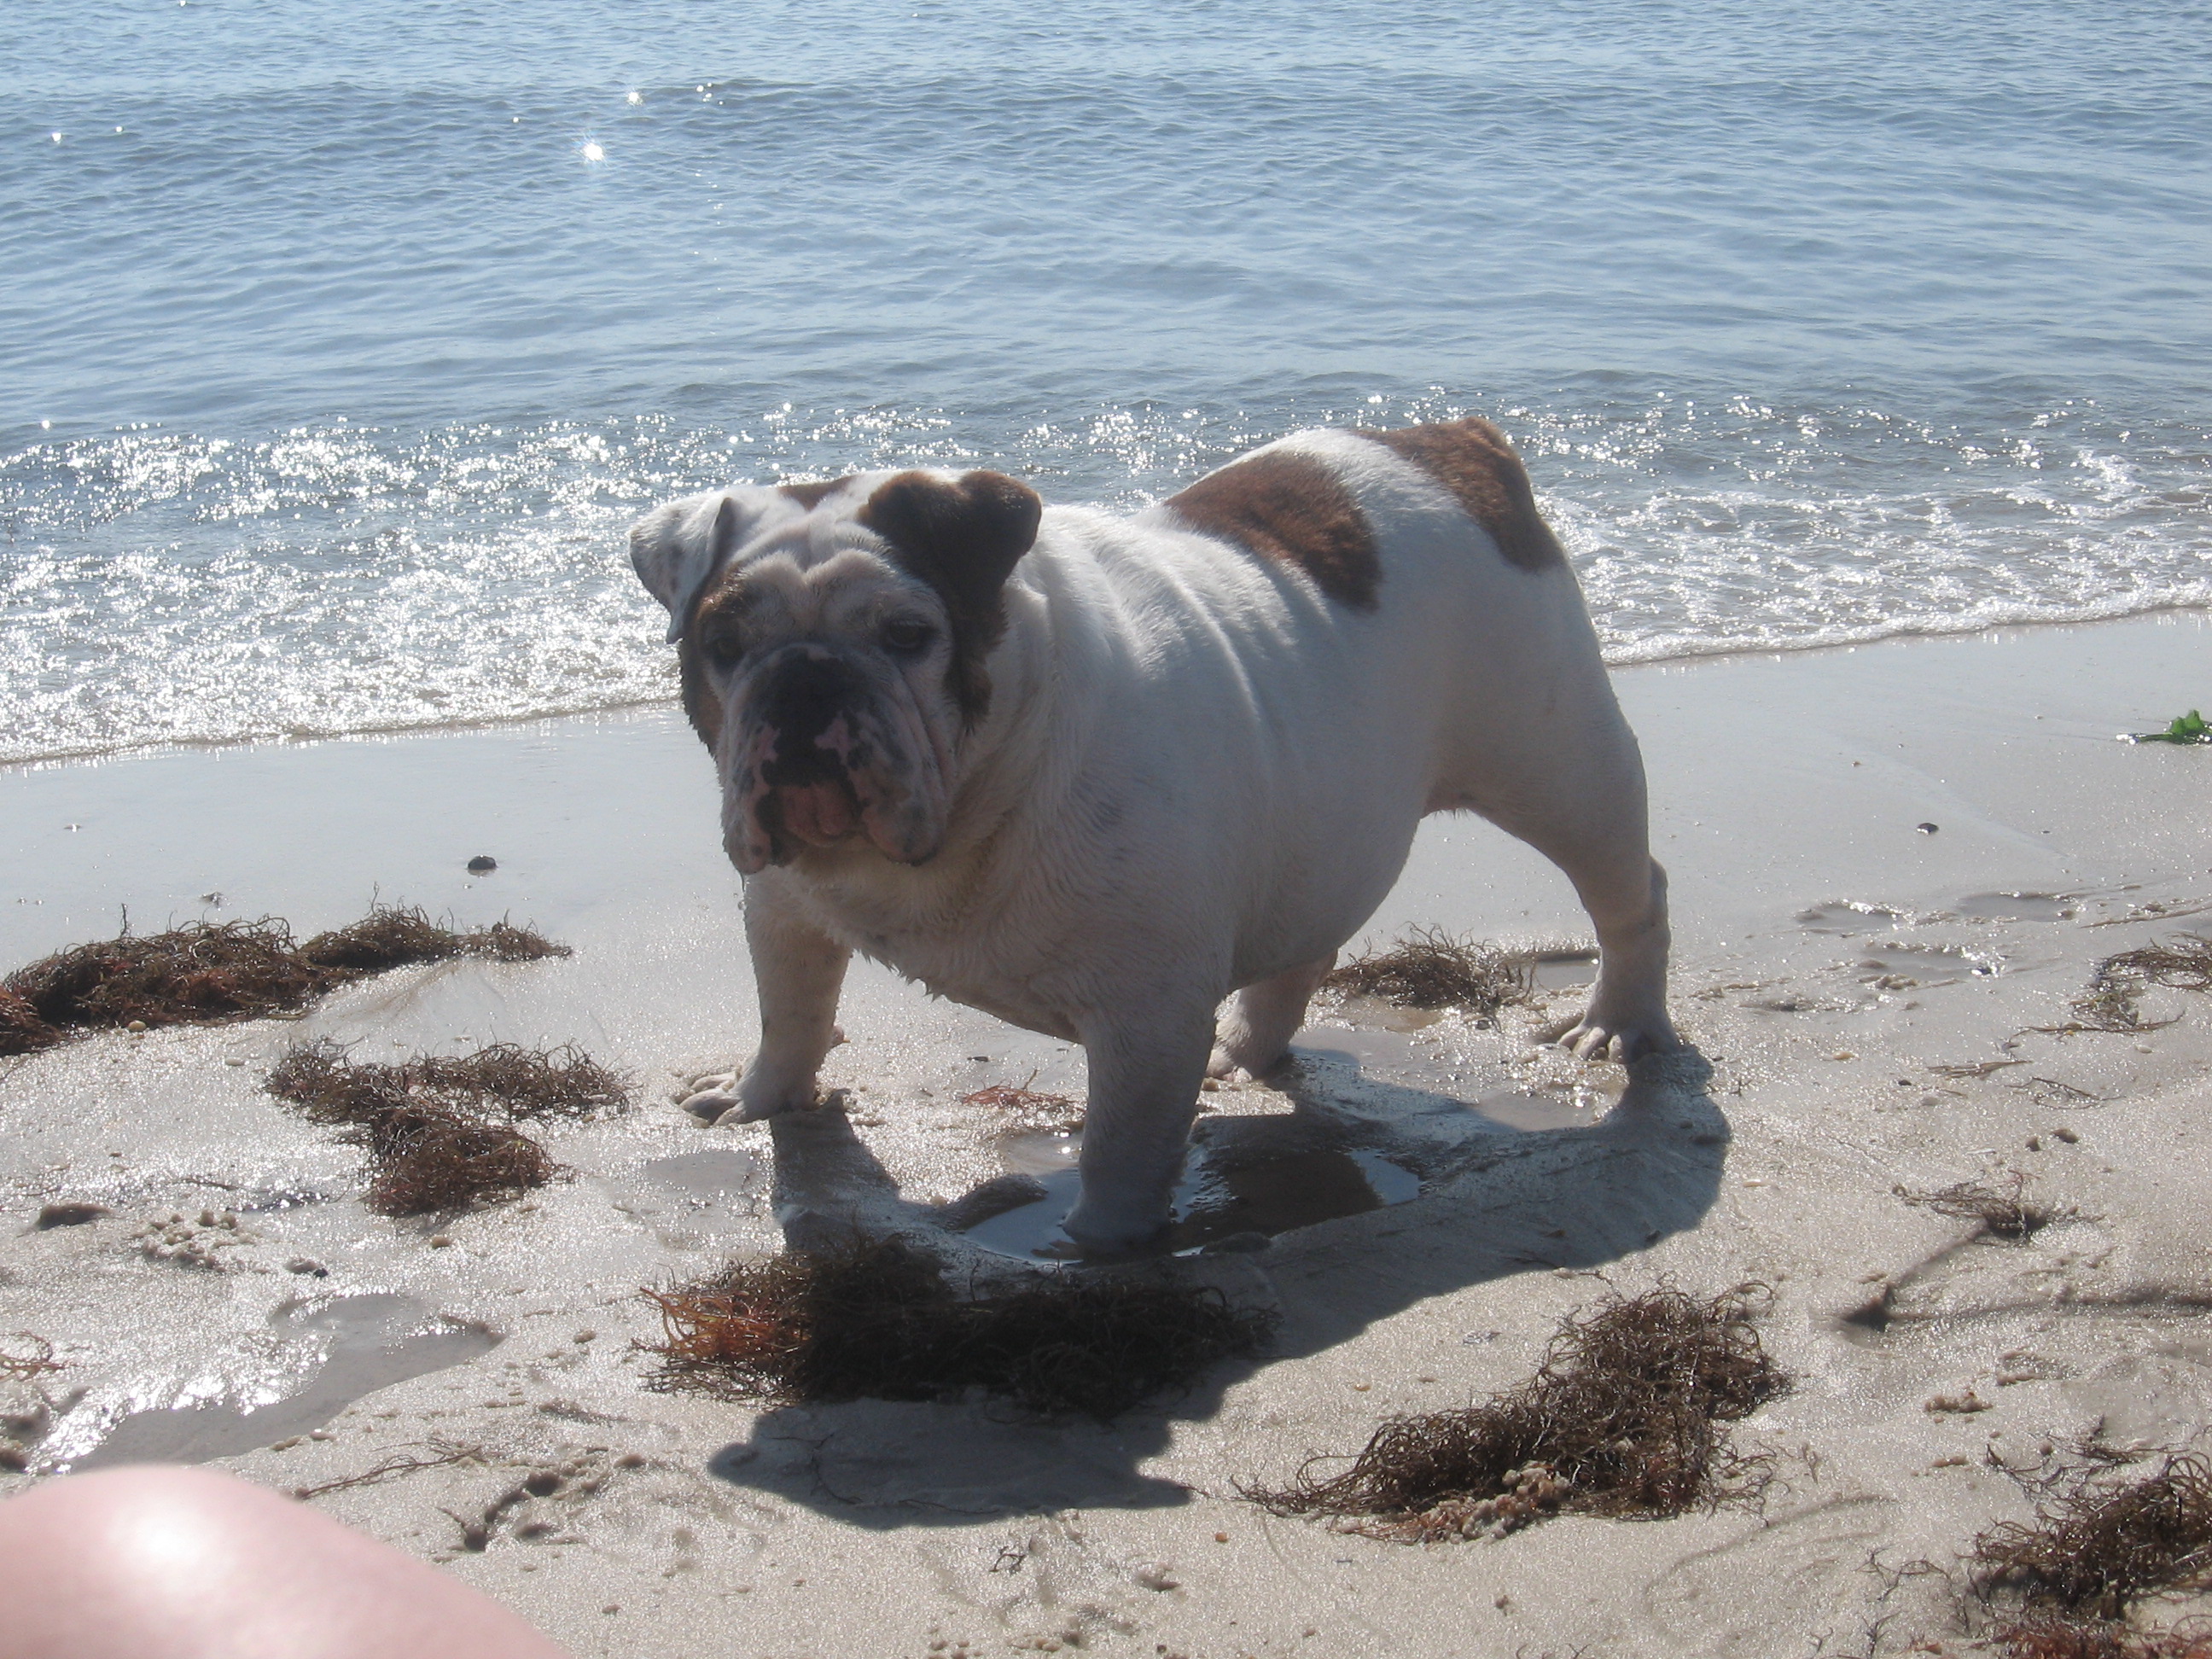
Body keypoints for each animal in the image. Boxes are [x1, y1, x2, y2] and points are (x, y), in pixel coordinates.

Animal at [628, 422, 1672, 1256]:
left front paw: (1096, 1240)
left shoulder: (1146, 1015)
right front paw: (758, 1097)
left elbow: (1121, 1144)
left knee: (1629, 892)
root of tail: (1455, 441)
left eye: (909, 634)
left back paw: (1614, 1020)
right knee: (1303, 941)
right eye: (722, 645)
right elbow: (791, 1016)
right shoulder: (785, 907)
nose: (807, 678)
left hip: (1560, 768)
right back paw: (1247, 1049)